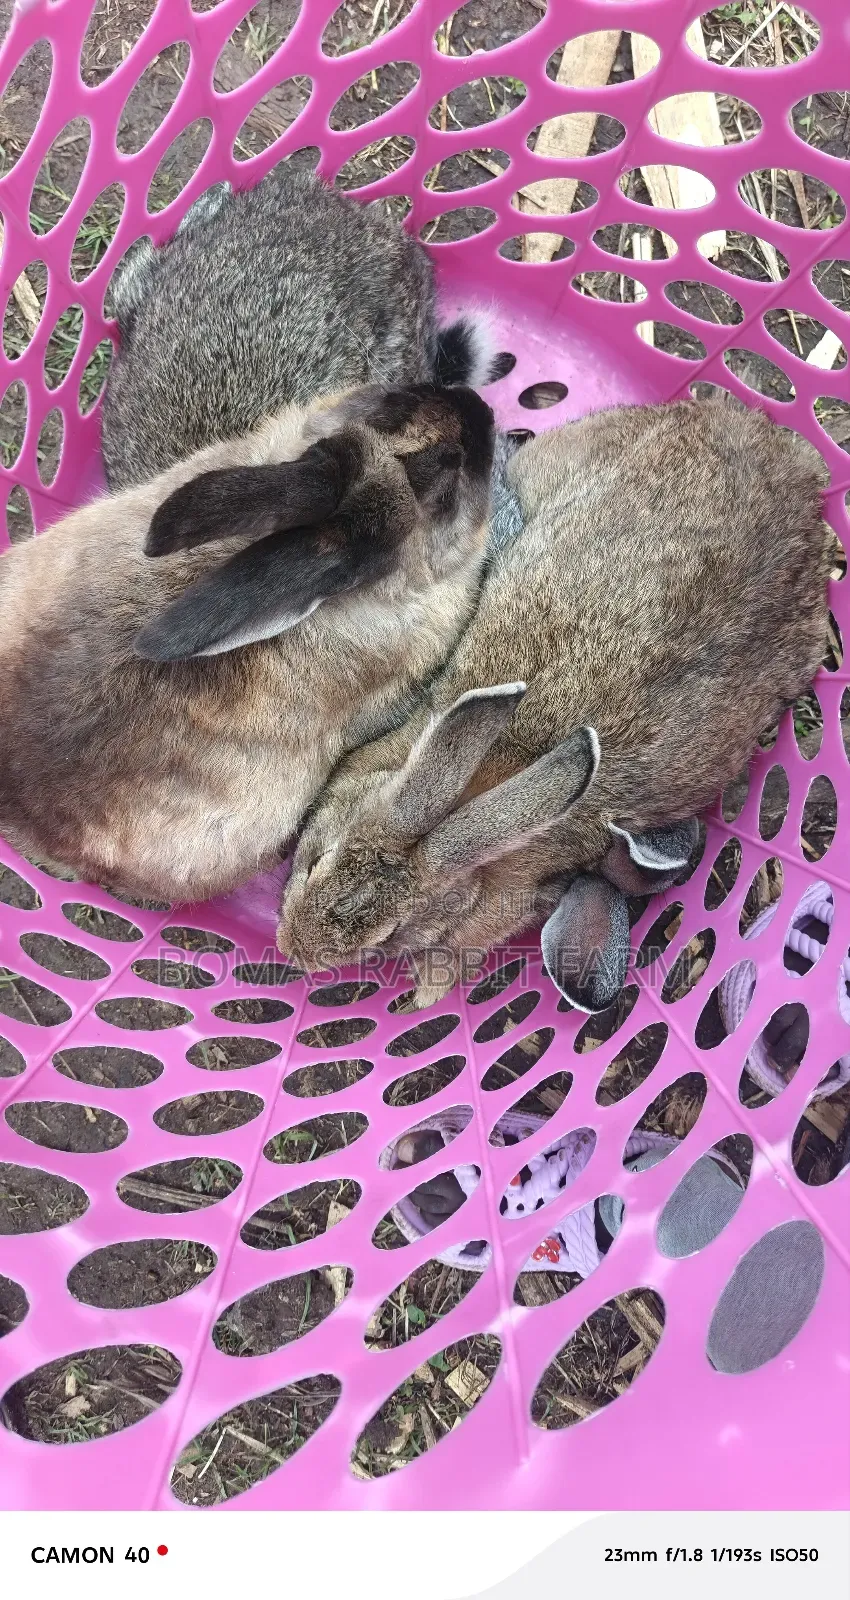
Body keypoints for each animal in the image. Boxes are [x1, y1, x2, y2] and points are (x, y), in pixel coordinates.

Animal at [279, 394, 832, 1010]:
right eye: (316, 861)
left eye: (388, 935)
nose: (292, 948)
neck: (475, 791)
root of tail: (788, 460)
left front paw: (424, 994)